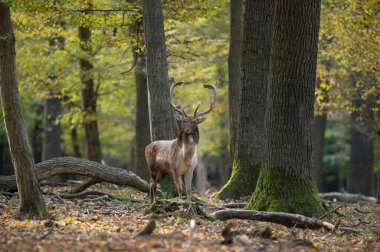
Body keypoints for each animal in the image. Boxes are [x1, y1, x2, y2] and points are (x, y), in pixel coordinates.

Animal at [145, 81, 217, 210]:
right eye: (183, 121)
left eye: (194, 121)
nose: (187, 129)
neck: (186, 158)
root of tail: (147, 146)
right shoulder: (175, 169)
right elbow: (180, 188)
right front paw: (180, 205)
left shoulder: (191, 170)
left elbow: (188, 190)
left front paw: (190, 207)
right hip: (152, 166)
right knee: (152, 182)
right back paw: (152, 203)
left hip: (163, 171)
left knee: (152, 182)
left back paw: (154, 202)